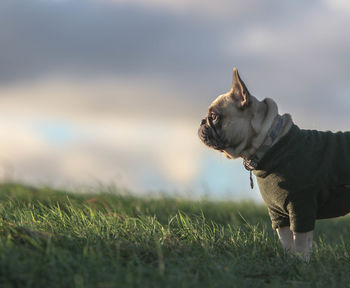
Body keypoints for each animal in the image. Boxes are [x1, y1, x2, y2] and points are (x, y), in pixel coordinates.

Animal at [198, 68, 350, 260]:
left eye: (214, 116)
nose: (201, 121)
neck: (271, 145)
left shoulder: (302, 207)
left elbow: (301, 243)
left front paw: (302, 263)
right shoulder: (278, 215)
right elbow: (287, 242)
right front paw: (289, 260)